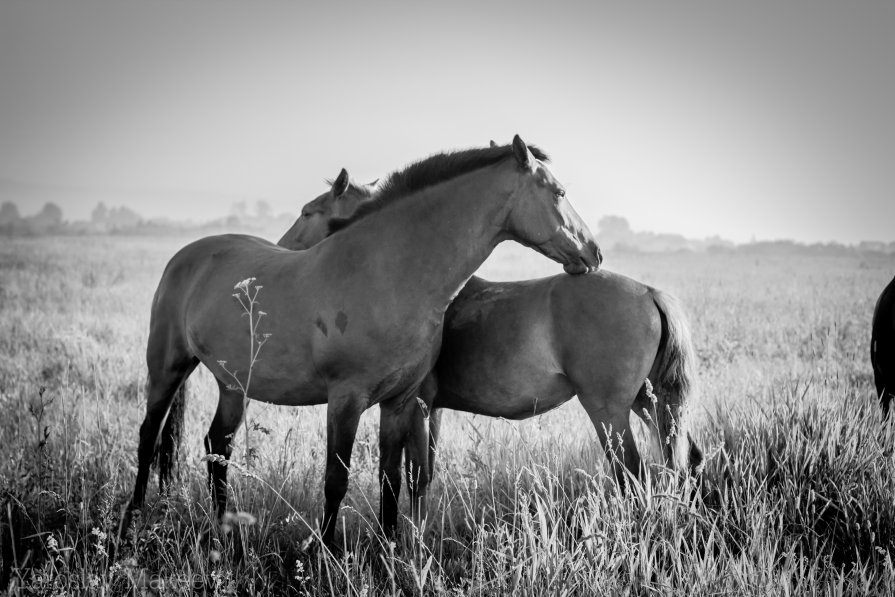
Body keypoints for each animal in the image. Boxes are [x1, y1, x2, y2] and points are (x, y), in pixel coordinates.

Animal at [130, 137, 600, 548]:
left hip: (234, 386)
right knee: (150, 435)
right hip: (168, 367)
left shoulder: (400, 402)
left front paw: (389, 547)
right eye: (559, 192)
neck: (386, 273)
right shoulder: (346, 400)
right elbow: (336, 480)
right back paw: (134, 516)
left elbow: (391, 479)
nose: (593, 253)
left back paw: (225, 531)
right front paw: (327, 552)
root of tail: (187, 255)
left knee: (217, 447)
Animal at [284, 178, 704, 532]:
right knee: (685, 461)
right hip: (649, 405)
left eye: (308, 212)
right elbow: (425, 475)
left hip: (609, 412)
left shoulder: (418, 403)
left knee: (632, 474)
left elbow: (417, 475)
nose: (284, 249)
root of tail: (650, 292)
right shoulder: (433, 408)